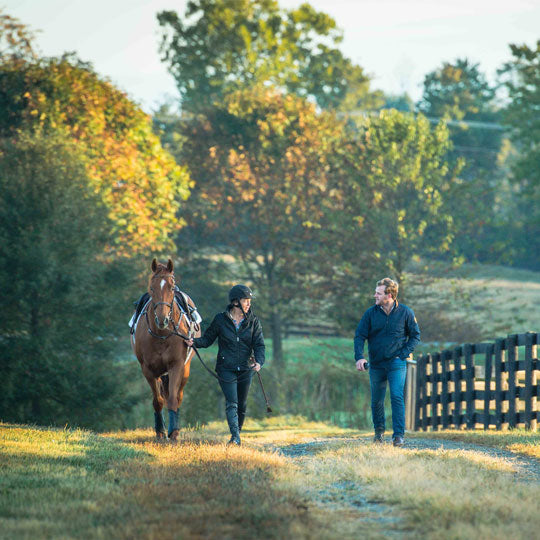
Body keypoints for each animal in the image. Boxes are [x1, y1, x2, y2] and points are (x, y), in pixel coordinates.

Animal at [131, 256, 200, 438]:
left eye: (171, 287)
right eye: (151, 287)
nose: (162, 319)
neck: (162, 334)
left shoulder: (177, 366)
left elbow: (173, 399)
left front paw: (173, 431)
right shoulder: (148, 370)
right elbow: (158, 401)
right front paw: (160, 431)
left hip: (185, 369)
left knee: (178, 396)